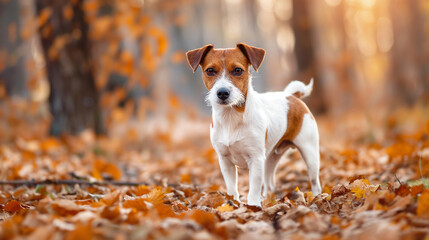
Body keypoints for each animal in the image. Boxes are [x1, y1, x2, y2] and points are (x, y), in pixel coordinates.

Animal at [186, 42, 320, 206]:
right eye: (210, 71)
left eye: (238, 70)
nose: (222, 92)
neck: (231, 117)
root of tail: (291, 96)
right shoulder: (225, 161)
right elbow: (232, 188)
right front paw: (234, 204)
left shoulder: (255, 159)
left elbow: (254, 189)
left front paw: (253, 206)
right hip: (270, 158)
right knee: (269, 183)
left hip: (310, 153)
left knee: (315, 181)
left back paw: (317, 197)